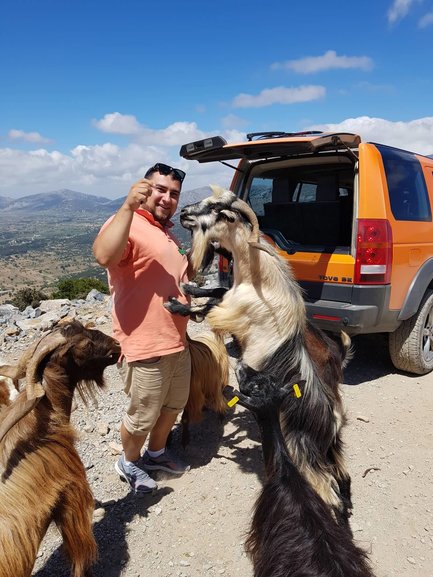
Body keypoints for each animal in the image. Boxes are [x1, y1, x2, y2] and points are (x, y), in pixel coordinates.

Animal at [164, 186, 352, 528]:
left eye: (216, 210)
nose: (183, 213)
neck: (259, 279)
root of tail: (332, 417)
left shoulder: (236, 314)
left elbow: (210, 307)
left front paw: (176, 304)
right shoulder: (230, 300)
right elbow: (214, 294)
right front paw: (190, 289)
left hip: (302, 447)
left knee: (328, 489)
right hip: (328, 451)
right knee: (342, 480)